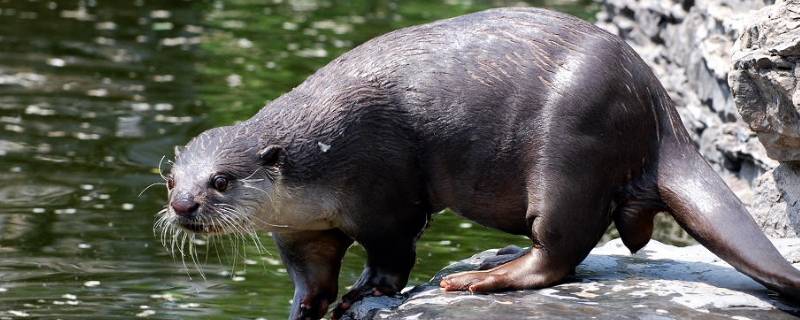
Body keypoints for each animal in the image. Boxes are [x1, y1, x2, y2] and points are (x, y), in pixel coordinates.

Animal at [159, 7, 800, 320]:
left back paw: (479, 278)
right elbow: (311, 275)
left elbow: (391, 257)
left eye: (220, 181)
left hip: (572, 147)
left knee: (560, 252)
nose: (184, 205)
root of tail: (654, 102)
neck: (321, 156)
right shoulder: (301, 230)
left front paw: (363, 294)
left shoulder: (381, 190)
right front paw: (306, 309)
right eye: (171, 179)